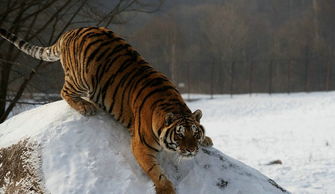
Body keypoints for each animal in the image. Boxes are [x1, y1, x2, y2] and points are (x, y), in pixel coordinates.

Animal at [0, 26, 214, 194]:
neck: (174, 106)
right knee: (64, 91)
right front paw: (166, 189)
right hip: (81, 79)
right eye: (179, 135)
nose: (192, 150)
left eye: (195, 133)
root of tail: (71, 31)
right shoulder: (141, 147)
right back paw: (86, 107)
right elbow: (156, 171)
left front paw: (207, 140)